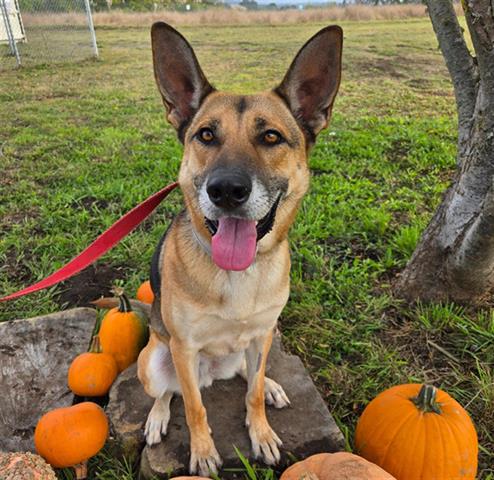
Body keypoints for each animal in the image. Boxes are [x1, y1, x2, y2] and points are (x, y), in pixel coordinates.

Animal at [136, 21, 344, 476]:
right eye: (206, 135)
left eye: (271, 137)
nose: (226, 191)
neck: (237, 273)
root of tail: (212, 372)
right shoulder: (184, 348)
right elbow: (194, 407)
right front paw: (202, 452)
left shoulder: (262, 333)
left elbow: (251, 393)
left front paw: (261, 432)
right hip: (157, 359)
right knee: (169, 391)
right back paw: (158, 416)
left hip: (258, 343)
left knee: (249, 375)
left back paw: (270, 385)